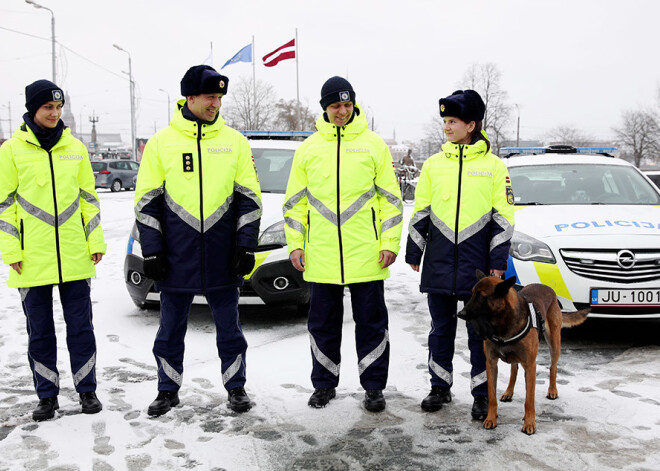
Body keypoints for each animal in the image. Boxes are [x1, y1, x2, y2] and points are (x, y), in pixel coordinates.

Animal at [456, 270, 592, 436]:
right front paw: (491, 418)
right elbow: (492, 396)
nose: (460, 313)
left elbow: (529, 400)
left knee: (553, 366)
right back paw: (508, 392)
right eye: (472, 294)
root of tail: (545, 286)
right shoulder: (491, 363)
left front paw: (529, 423)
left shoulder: (530, 365)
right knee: (514, 369)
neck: (503, 324)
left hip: (554, 343)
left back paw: (552, 390)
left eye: (482, 297)